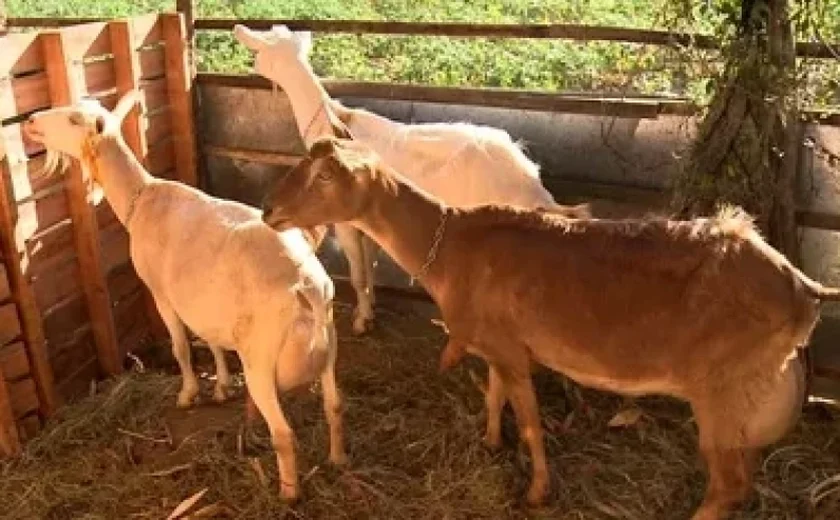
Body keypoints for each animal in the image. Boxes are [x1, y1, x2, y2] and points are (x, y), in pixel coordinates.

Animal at [23, 94, 344, 504]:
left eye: (74, 120)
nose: (31, 122)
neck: (141, 197)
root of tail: (309, 288)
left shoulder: (162, 293)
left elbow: (180, 347)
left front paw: (188, 394)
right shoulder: (203, 301)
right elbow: (211, 340)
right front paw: (221, 386)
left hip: (261, 357)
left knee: (284, 434)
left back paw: (288, 493)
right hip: (329, 348)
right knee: (334, 406)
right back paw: (337, 460)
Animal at [233, 25, 580, 334]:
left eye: (259, 48)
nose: (250, 68)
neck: (335, 122)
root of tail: (533, 188)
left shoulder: (345, 222)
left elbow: (358, 273)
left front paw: (361, 322)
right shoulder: (371, 221)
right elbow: (370, 268)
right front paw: (370, 309)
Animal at [260, 137, 836, 520]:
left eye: (326, 177)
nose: (269, 210)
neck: (451, 247)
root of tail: (803, 291)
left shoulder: (513, 351)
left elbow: (532, 423)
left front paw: (536, 491)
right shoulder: (497, 343)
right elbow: (493, 394)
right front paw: (491, 442)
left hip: (720, 390)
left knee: (727, 486)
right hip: (750, 401)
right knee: (743, 477)